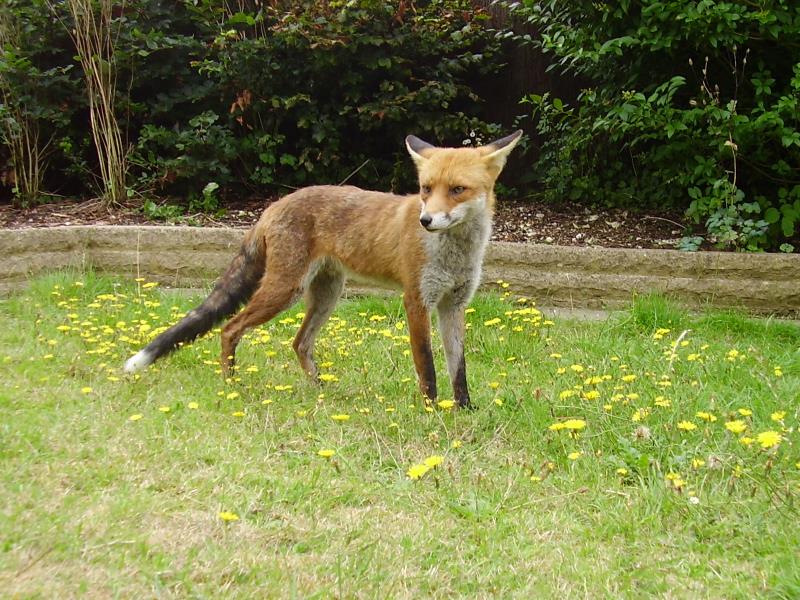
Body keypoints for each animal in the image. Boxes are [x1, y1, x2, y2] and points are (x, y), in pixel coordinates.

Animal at [123, 129, 524, 406]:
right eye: (426, 188)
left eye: (457, 189)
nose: (425, 221)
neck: (456, 253)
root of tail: (273, 205)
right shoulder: (416, 300)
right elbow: (426, 363)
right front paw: (430, 410)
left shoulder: (453, 303)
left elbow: (458, 367)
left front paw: (463, 409)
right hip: (285, 290)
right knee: (229, 328)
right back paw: (232, 385)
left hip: (327, 294)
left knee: (299, 342)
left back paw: (319, 391)